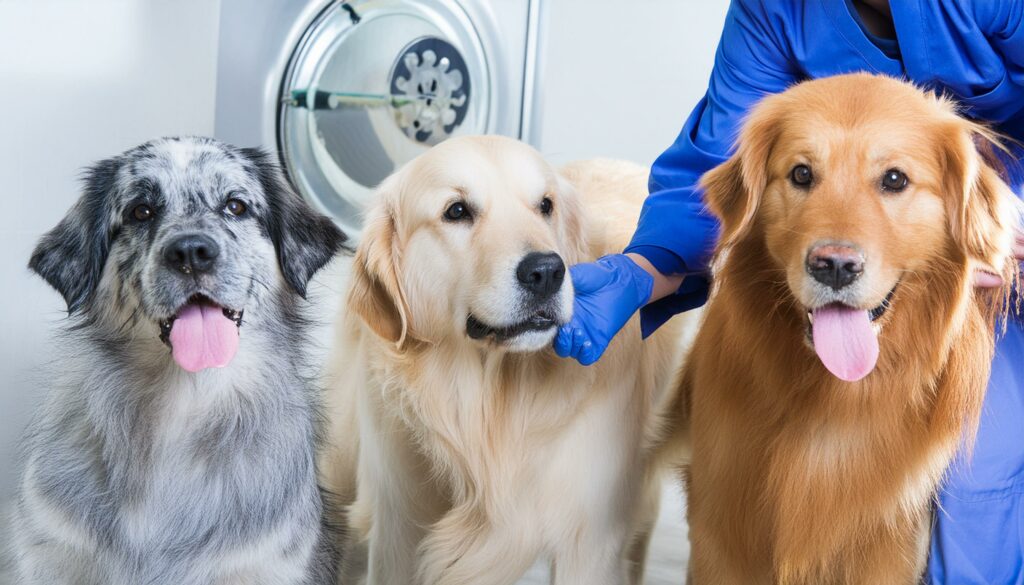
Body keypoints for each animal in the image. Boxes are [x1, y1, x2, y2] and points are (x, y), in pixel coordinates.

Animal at [323, 136, 700, 585]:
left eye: (545, 205)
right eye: (457, 211)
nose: (547, 272)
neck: (491, 405)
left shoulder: (588, 542)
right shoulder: (400, 527)